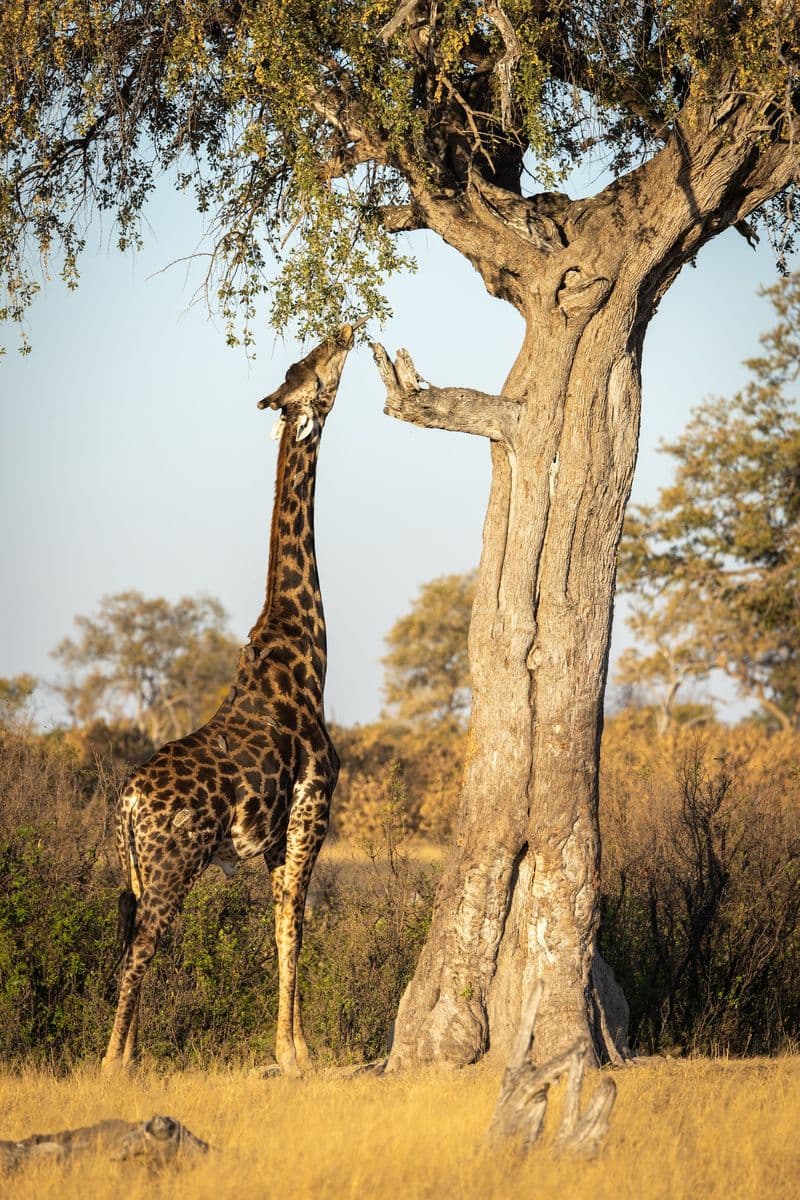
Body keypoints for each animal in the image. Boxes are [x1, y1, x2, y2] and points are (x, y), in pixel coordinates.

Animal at [104, 324, 357, 1075]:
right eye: (315, 369)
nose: (344, 328)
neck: (307, 653)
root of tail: (126, 805)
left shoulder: (275, 839)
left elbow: (282, 927)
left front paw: (293, 1048)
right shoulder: (310, 813)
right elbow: (294, 926)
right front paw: (296, 1054)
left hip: (140, 870)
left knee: (134, 941)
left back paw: (132, 1057)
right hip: (172, 863)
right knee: (138, 950)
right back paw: (112, 1065)